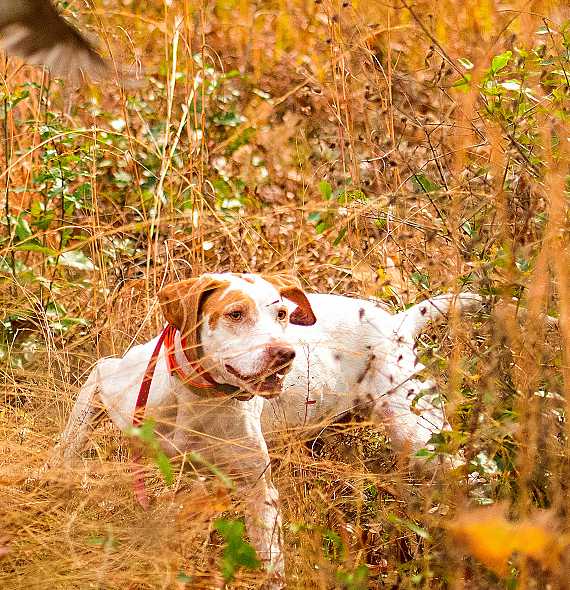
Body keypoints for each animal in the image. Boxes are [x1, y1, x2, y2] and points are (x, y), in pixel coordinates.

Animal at [48, 276, 316, 588]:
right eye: (235, 314)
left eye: (282, 314)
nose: (285, 353)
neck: (197, 395)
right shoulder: (105, 377)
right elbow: (72, 438)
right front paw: (55, 475)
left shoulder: (259, 490)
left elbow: (271, 559)